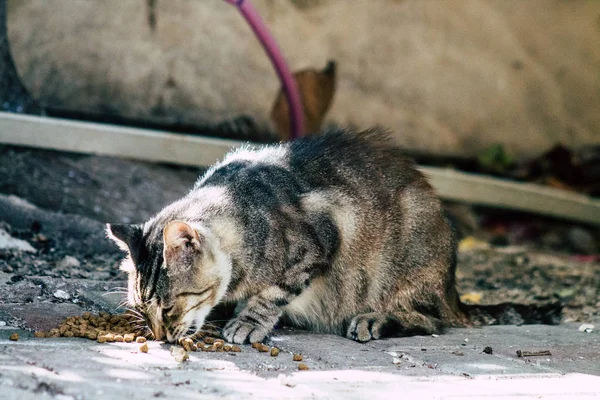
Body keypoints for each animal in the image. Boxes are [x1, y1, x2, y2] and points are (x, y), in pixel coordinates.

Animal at [109, 129, 474, 344]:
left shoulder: (322, 239)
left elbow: (273, 293)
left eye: (169, 308)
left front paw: (248, 322)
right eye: (142, 311)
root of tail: (454, 294)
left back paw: (373, 320)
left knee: (431, 320)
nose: (160, 337)